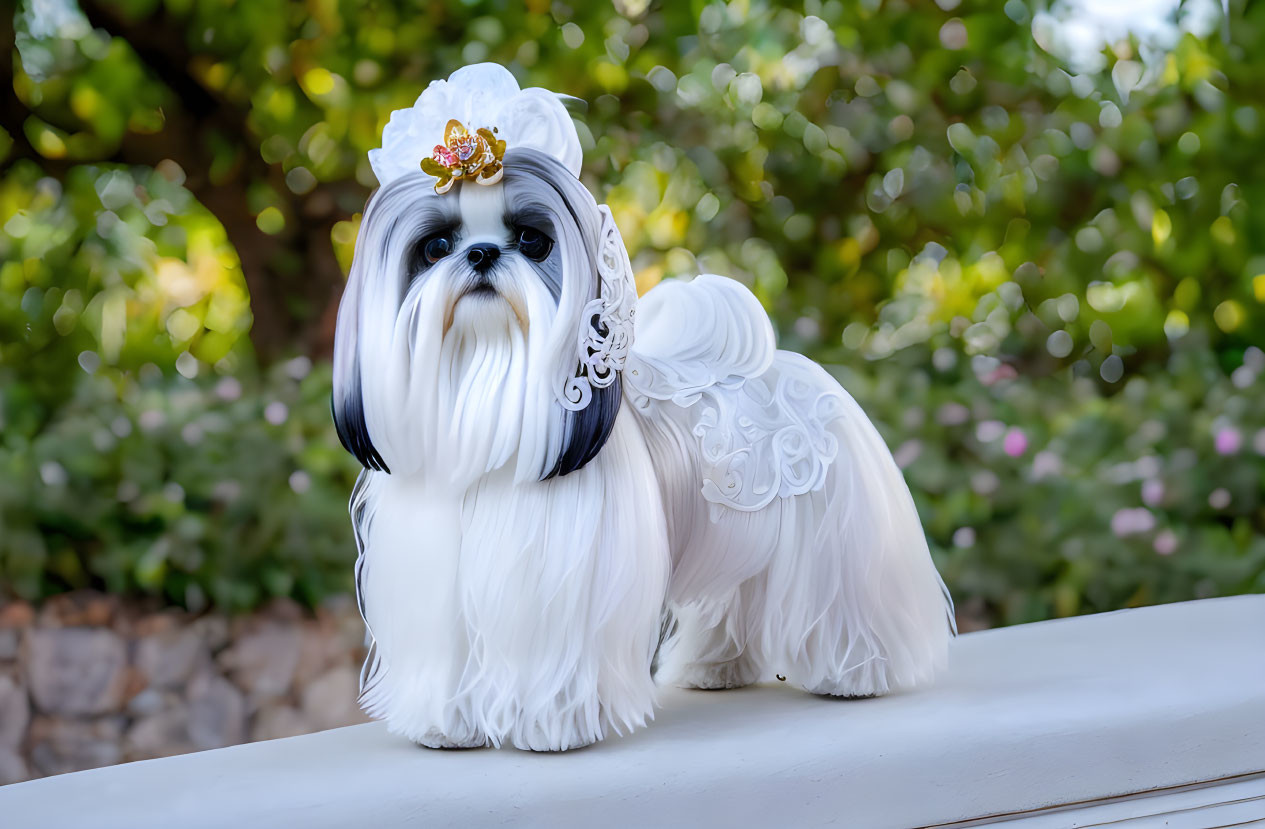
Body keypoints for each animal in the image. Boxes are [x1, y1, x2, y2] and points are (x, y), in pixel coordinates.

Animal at [331, 63, 951, 754]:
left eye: (532, 239)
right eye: (436, 246)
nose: (482, 253)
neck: (486, 386)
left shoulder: (558, 584)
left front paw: (551, 727)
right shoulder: (435, 583)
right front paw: (445, 726)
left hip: (839, 546)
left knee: (849, 606)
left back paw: (859, 672)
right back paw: (717, 669)